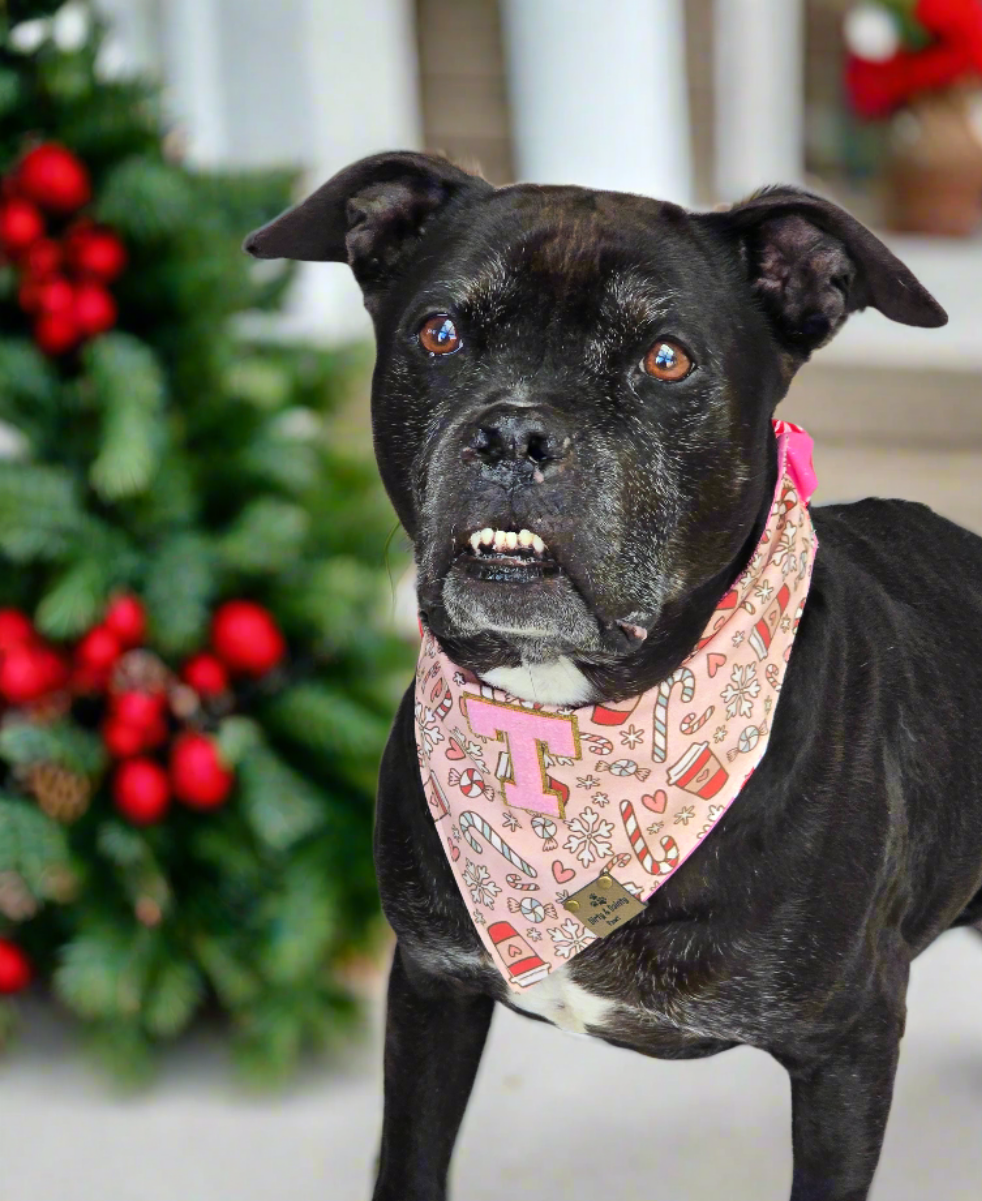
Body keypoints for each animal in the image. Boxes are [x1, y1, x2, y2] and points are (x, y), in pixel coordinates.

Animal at [247, 157, 982, 1201]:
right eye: (440, 332)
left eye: (666, 359)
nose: (514, 433)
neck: (576, 723)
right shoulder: (430, 987)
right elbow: (409, 1162)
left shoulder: (847, 1046)